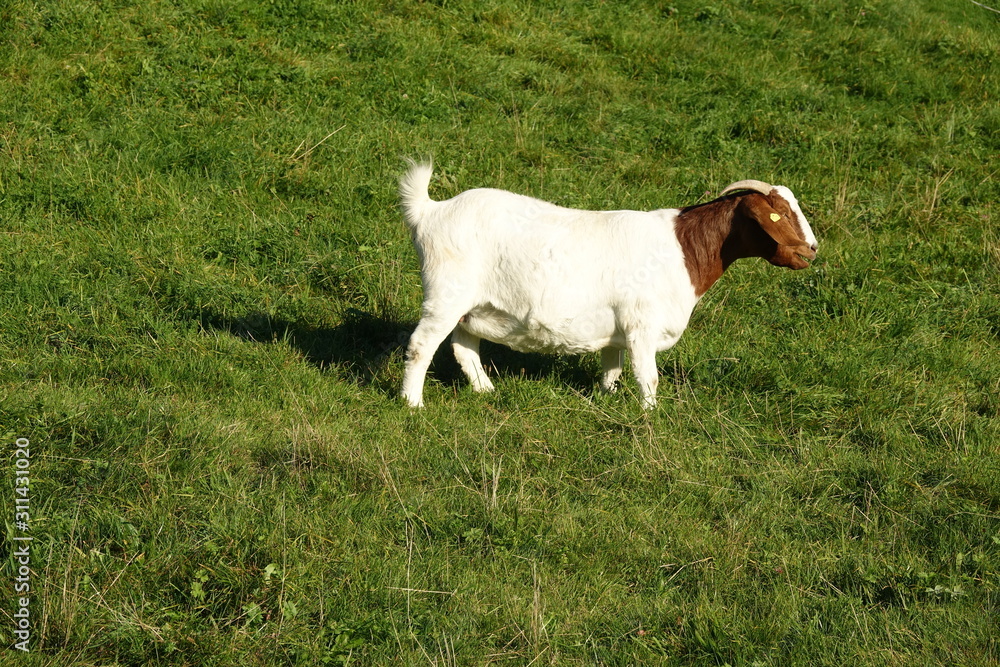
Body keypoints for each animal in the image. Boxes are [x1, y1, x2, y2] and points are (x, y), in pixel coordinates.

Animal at [398, 162, 817, 408]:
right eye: (780, 215)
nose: (812, 249)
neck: (682, 249)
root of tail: (431, 210)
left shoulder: (618, 331)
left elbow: (612, 369)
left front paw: (605, 400)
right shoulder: (642, 325)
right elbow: (648, 378)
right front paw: (649, 418)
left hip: (474, 305)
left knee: (463, 345)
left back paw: (485, 391)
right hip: (446, 294)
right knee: (421, 346)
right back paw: (412, 404)